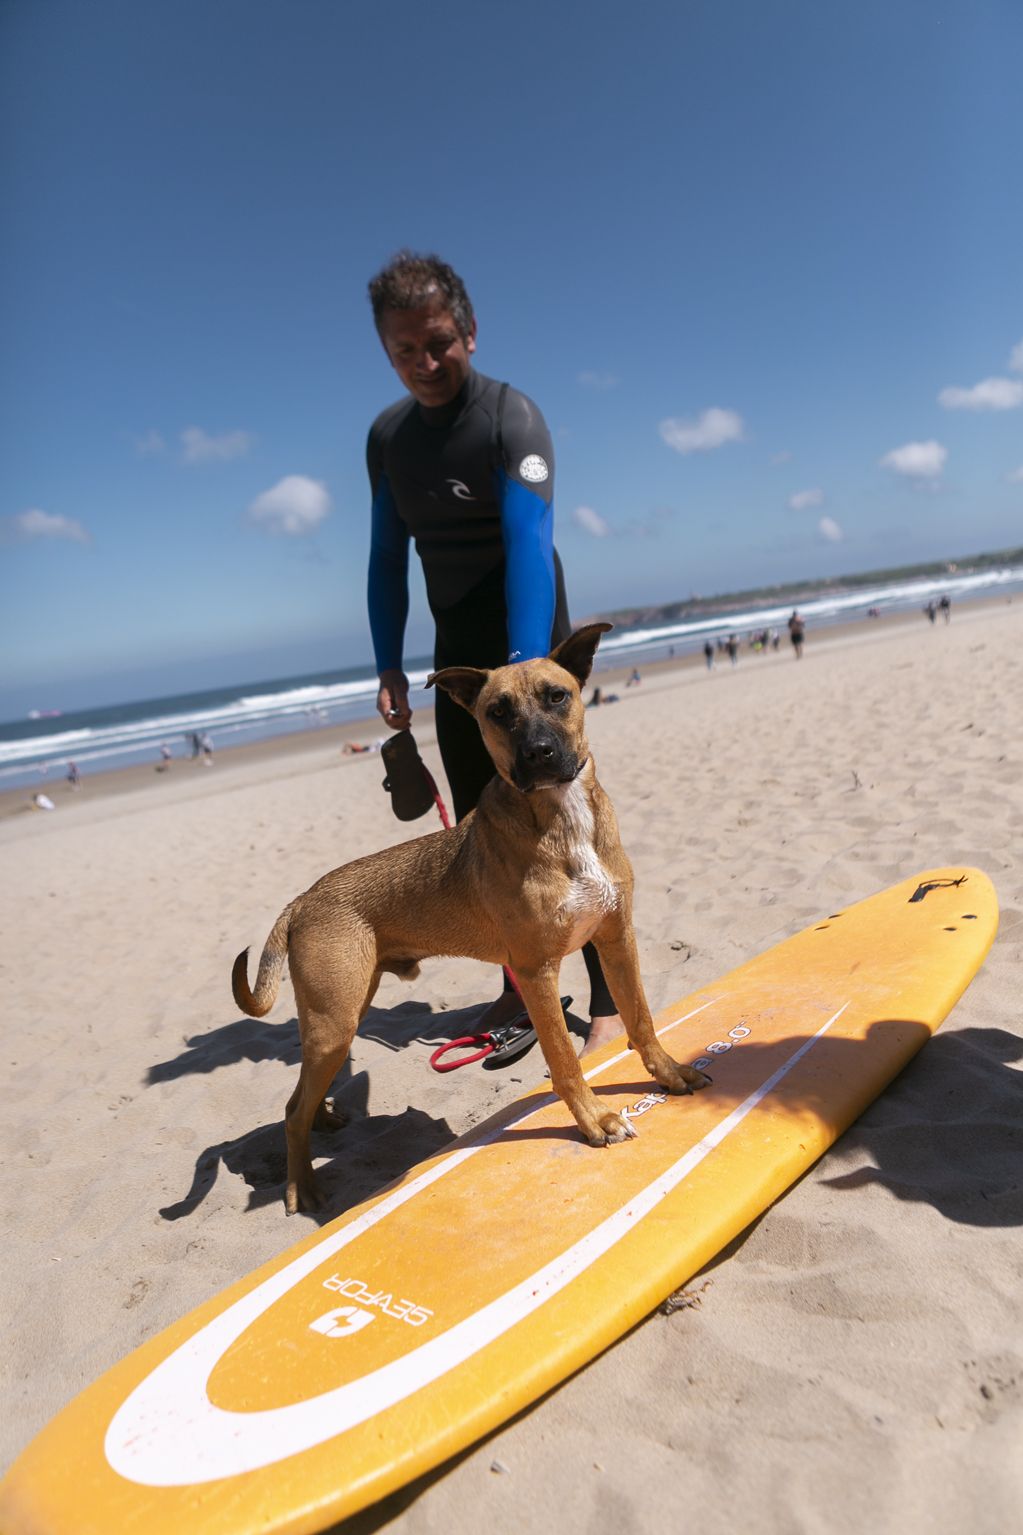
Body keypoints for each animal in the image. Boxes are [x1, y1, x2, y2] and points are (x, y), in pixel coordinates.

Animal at [233, 623, 706, 1209]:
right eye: (497, 712)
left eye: (558, 696)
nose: (539, 752)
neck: (560, 817)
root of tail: (301, 900)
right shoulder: (535, 972)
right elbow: (564, 1060)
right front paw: (594, 1119)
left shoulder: (616, 939)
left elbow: (640, 1020)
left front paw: (669, 1074)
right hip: (334, 1022)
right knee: (292, 1111)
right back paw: (304, 1186)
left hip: (339, 1017)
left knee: (298, 1096)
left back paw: (323, 1122)